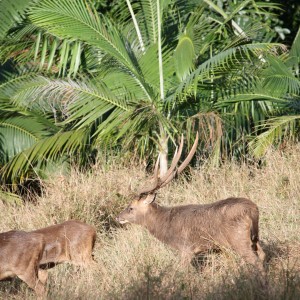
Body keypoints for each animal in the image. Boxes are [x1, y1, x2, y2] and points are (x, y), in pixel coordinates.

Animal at [116, 132, 266, 270]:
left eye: (130, 207)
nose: (118, 217)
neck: (164, 226)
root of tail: (253, 210)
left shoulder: (186, 248)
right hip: (254, 237)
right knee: (263, 254)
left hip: (238, 238)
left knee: (255, 260)